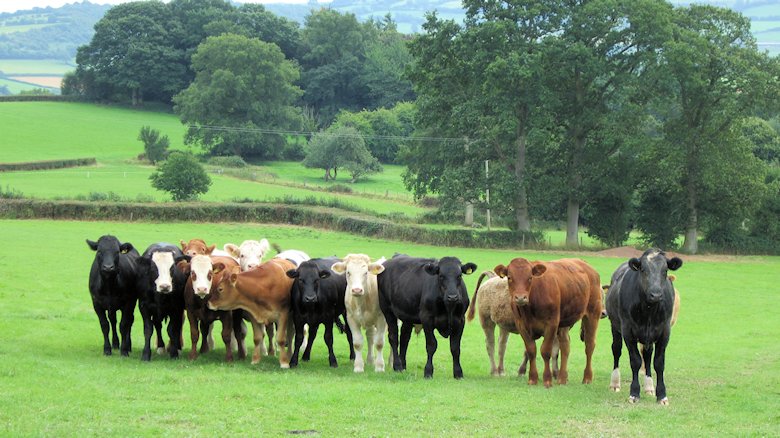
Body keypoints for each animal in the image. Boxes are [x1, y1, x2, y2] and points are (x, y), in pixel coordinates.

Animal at [494, 258, 601, 388]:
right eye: (509, 277)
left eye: (530, 278)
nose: (520, 298)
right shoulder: (521, 326)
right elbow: (531, 351)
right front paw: (532, 379)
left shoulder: (551, 324)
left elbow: (545, 351)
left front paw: (547, 380)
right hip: (564, 324)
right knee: (565, 346)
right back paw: (562, 378)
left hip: (592, 314)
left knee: (589, 345)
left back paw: (587, 378)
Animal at [605, 248, 682, 405]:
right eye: (643, 270)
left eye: (665, 270)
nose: (656, 294)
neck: (649, 310)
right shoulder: (628, 331)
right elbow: (635, 361)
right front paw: (634, 393)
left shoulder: (664, 331)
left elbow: (658, 363)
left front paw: (662, 395)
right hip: (615, 326)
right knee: (616, 350)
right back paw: (615, 383)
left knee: (647, 356)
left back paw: (649, 386)